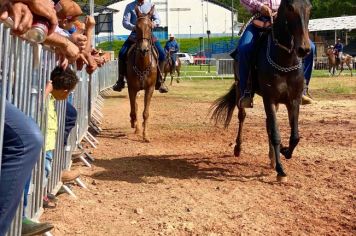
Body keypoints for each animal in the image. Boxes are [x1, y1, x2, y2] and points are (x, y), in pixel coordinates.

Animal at [211, 0, 312, 182]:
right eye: (290, 8)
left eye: (310, 8)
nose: (304, 49)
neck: (284, 61)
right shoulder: (269, 99)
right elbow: (276, 133)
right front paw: (280, 170)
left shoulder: (293, 100)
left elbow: (294, 136)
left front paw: (284, 152)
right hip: (240, 89)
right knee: (242, 116)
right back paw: (238, 148)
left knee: (267, 125)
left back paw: (272, 157)